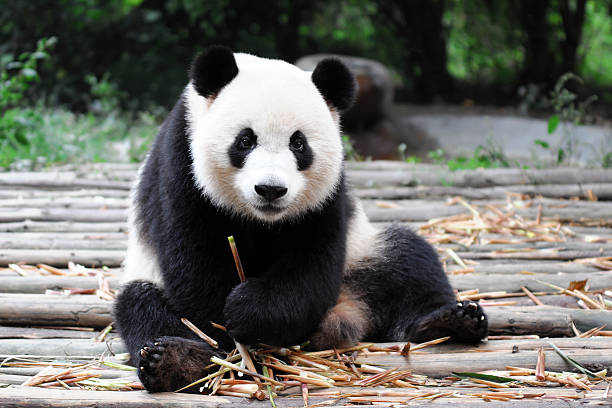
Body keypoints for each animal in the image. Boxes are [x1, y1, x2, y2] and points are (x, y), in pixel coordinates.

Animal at [113, 46, 488, 394]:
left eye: (299, 144)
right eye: (245, 140)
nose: (270, 189)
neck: (261, 219)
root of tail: (349, 313)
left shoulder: (327, 197)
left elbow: (312, 265)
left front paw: (248, 313)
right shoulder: (181, 167)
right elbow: (195, 262)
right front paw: (229, 339)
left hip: (363, 254)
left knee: (409, 260)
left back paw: (452, 321)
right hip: (145, 273)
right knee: (141, 306)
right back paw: (176, 361)